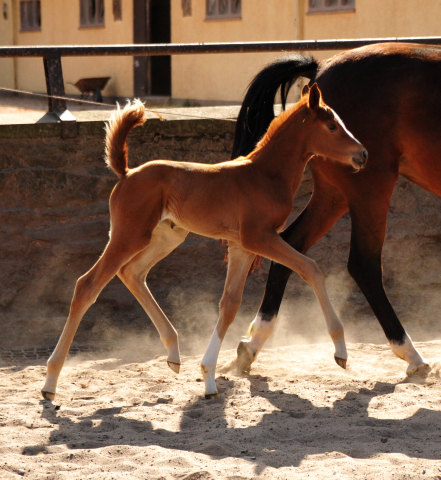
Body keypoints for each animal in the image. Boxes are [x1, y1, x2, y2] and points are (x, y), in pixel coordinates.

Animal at [42, 84, 364, 400]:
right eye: (333, 126)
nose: (362, 154)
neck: (264, 174)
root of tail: (127, 173)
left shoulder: (242, 246)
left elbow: (230, 303)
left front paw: (208, 377)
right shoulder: (259, 237)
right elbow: (311, 268)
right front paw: (341, 350)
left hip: (167, 236)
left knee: (131, 273)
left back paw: (173, 353)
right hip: (129, 235)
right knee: (87, 285)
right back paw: (50, 381)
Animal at [230, 42, 436, 376]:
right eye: (332, 125)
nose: (361, 152)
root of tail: (321, 68)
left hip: (333, 196)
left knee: (291, 247)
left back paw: (252, 344)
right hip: (369, 189)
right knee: (364, 265)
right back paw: (410, 353)